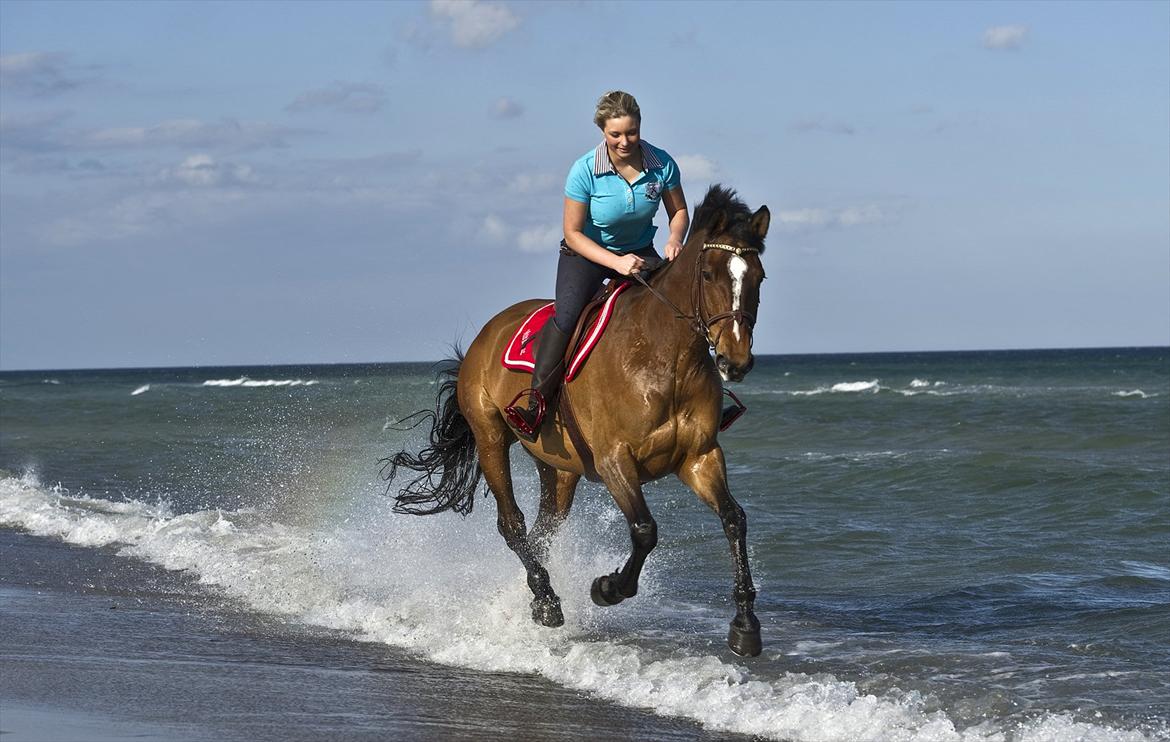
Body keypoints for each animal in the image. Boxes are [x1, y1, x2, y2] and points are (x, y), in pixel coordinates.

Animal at [383, 183, 767, 650]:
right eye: (709, 275)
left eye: (759, 277)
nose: (736, 361)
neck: (665, 358)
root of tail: (486, 333)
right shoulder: (615, 460)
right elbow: (645, 529)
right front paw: (608, 588)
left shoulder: (699, 458)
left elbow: (734, 519)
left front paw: (745, 625)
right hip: (491, 437)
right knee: (512, 524)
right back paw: (547, 602)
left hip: (559, 467)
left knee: (543, 532)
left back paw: (533, 598)